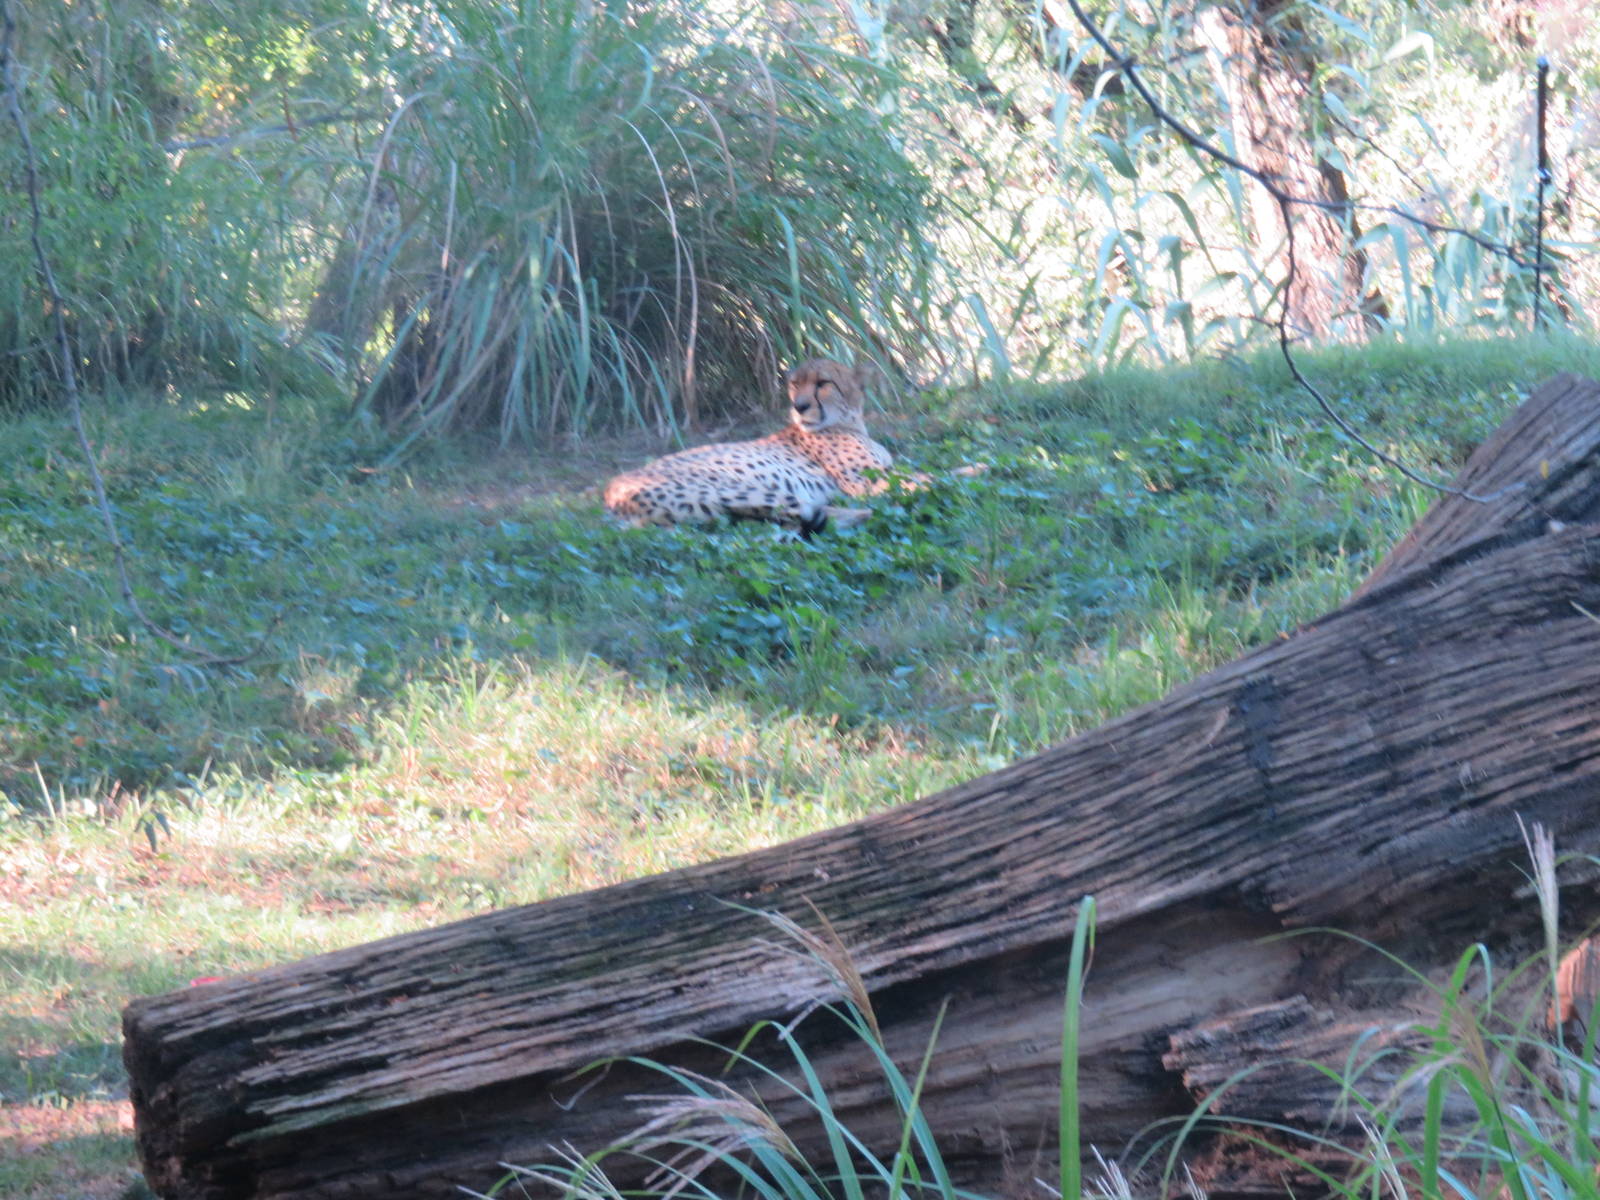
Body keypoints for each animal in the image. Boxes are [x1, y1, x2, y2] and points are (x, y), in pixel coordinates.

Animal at [603, 358, 894, 537]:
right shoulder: (863, 480)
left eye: (823, 383)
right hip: (748, 490)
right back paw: (867, 514)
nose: (799, 406)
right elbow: (901, 483)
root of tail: (610, 492)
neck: (849, 422)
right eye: (795, 384)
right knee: (824, 513)